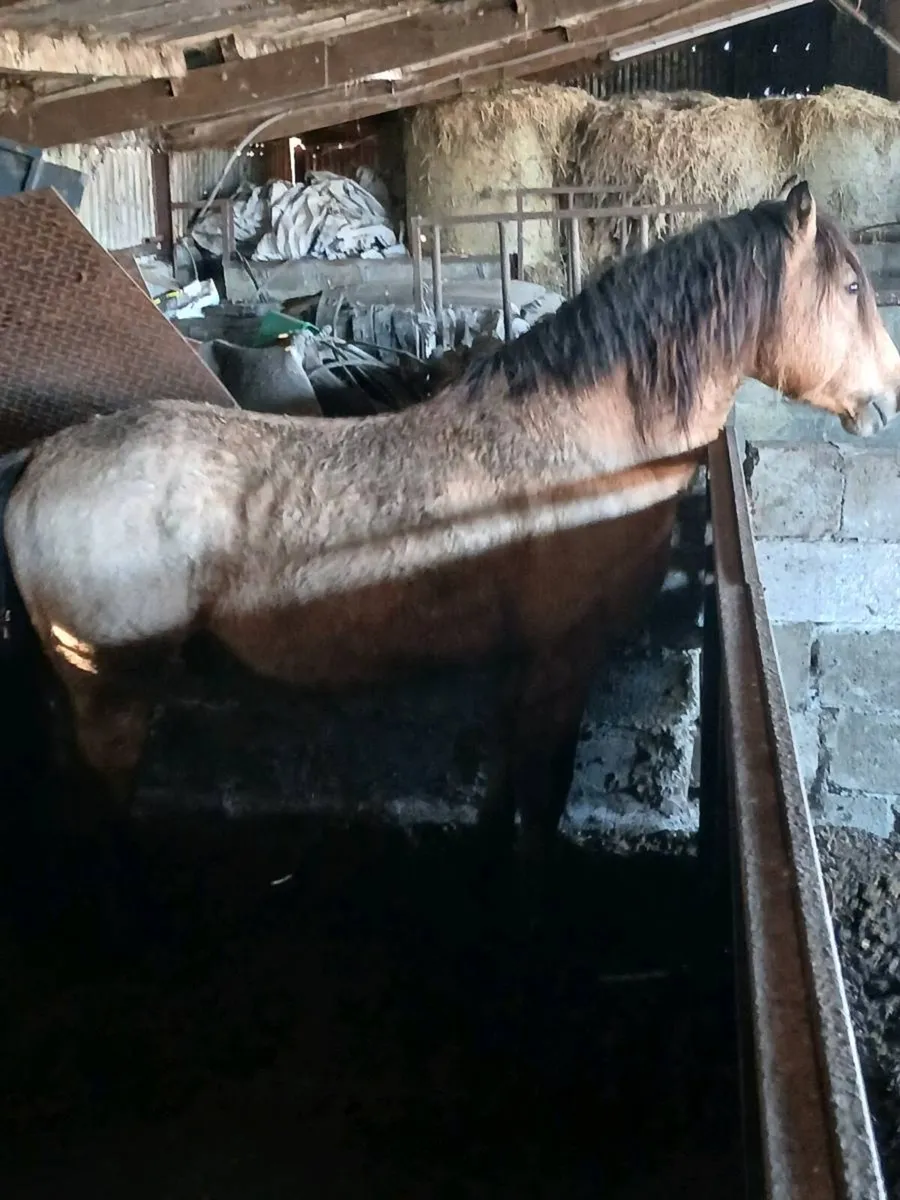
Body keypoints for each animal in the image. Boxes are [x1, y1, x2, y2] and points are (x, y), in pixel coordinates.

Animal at [1, 179, 898, 869]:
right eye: (853, 289)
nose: (887, 396)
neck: (590, 438)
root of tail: (37, 469)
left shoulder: (519, 664)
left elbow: (505, 789)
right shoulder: (562, 659)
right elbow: (542, 796)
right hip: (109, 692)